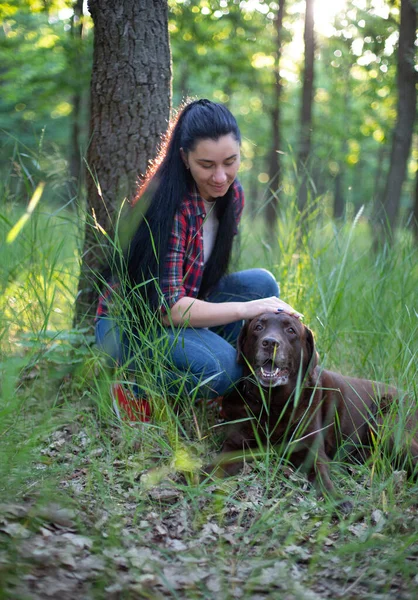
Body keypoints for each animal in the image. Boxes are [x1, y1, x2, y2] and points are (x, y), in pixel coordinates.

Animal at [217, 312, 416, 508]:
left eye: (291, 330)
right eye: (258, 327)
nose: (270, 342)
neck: (273, 405)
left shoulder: (312, 452)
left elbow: (322, 478)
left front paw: (338, 501)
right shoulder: (234, 445)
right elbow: (215, 468)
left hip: (385, 425)